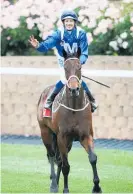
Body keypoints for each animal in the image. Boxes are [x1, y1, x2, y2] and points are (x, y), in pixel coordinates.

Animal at [36, 50, 102, 193]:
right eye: (65, 68)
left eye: (79, 67)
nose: (73, 89)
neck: (74, 108)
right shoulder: (62, 137)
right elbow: (66, 165)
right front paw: (65, 189)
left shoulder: (85, 135)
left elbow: (93, 158)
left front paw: (97, 187)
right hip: (46, 133)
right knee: (52, 156)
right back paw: (54, 184)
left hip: (67, 142)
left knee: (58, 159)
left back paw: (57, 182)